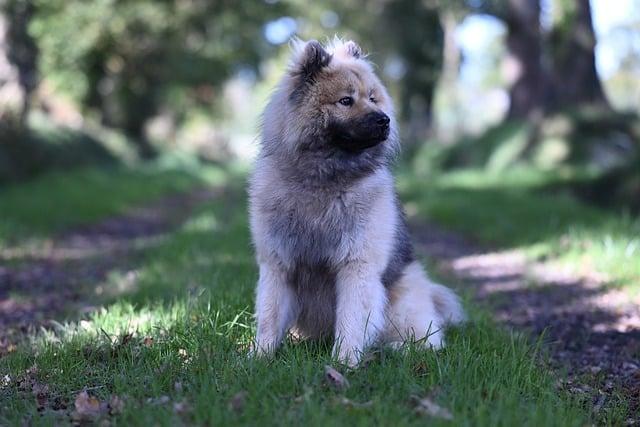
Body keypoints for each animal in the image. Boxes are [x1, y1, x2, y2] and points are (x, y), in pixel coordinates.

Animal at [248, 37, 462, 368]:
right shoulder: (278, 263)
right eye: (346, 101)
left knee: (429, 341)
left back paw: (396, 349)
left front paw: (344, 361)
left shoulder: (356, 265)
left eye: (373, 98)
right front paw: (260, 357)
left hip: (401, 304)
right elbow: (269, 315)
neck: (323, 179)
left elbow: (352, 319)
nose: (384, 120)